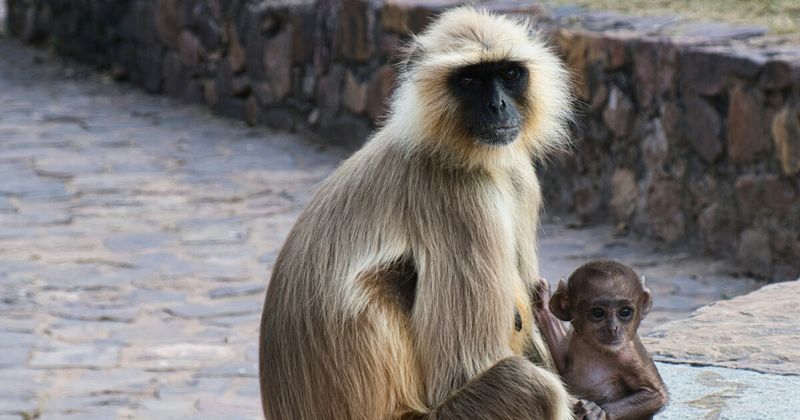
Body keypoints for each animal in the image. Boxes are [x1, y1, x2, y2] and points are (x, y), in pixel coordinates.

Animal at [259, 7, 575, 419]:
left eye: (508, 74)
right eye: (469, 80)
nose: (498, 106)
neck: (448, 150)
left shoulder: (519, 175)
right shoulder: (461, 200)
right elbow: (461, 372)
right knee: (532, 387)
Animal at [533, 260, 669, 420]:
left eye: (625, 312)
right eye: (598, 313)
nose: (613, 328)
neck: (595, 349)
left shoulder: (629, 354)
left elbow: (655, 394)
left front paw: (597, 411)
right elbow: (562, 361)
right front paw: (543, 303)